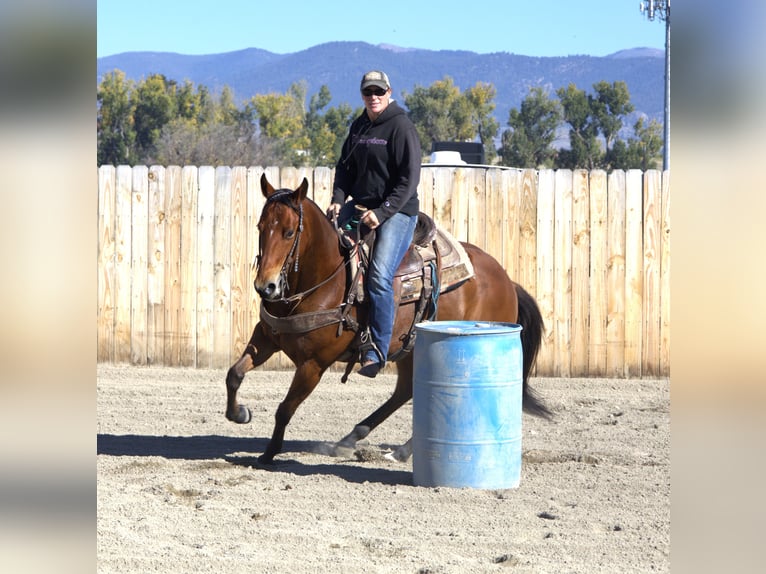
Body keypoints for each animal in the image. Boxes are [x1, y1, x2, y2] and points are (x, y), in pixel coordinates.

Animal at [225, 174, 551, 464]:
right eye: (260, 226)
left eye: (290, 232)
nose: (265, 287)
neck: (324, 279)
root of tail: (507, 280)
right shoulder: (266, 338)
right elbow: (234, 374)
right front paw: (238, 413)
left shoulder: (314, 364)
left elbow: (285, 408)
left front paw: (268, 453)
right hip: (411, 348)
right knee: (405, 390)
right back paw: (359, 441)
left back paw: (396, 449)